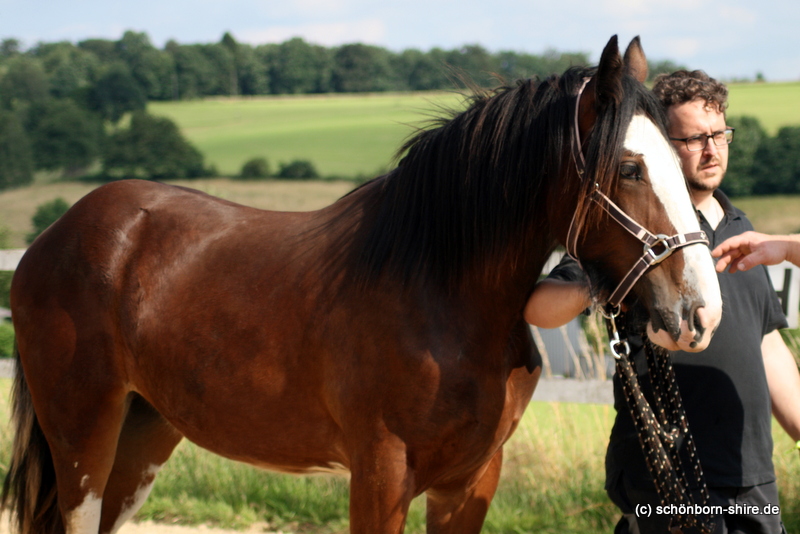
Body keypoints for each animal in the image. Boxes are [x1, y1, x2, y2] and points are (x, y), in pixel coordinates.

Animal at [3, 35, 720, 532]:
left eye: (678, 158)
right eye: (630, 167)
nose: (700, 312)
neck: (439, 293)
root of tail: (54, 237)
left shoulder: (470, 481)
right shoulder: (380, 474)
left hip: (142, 433)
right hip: (83, 436)